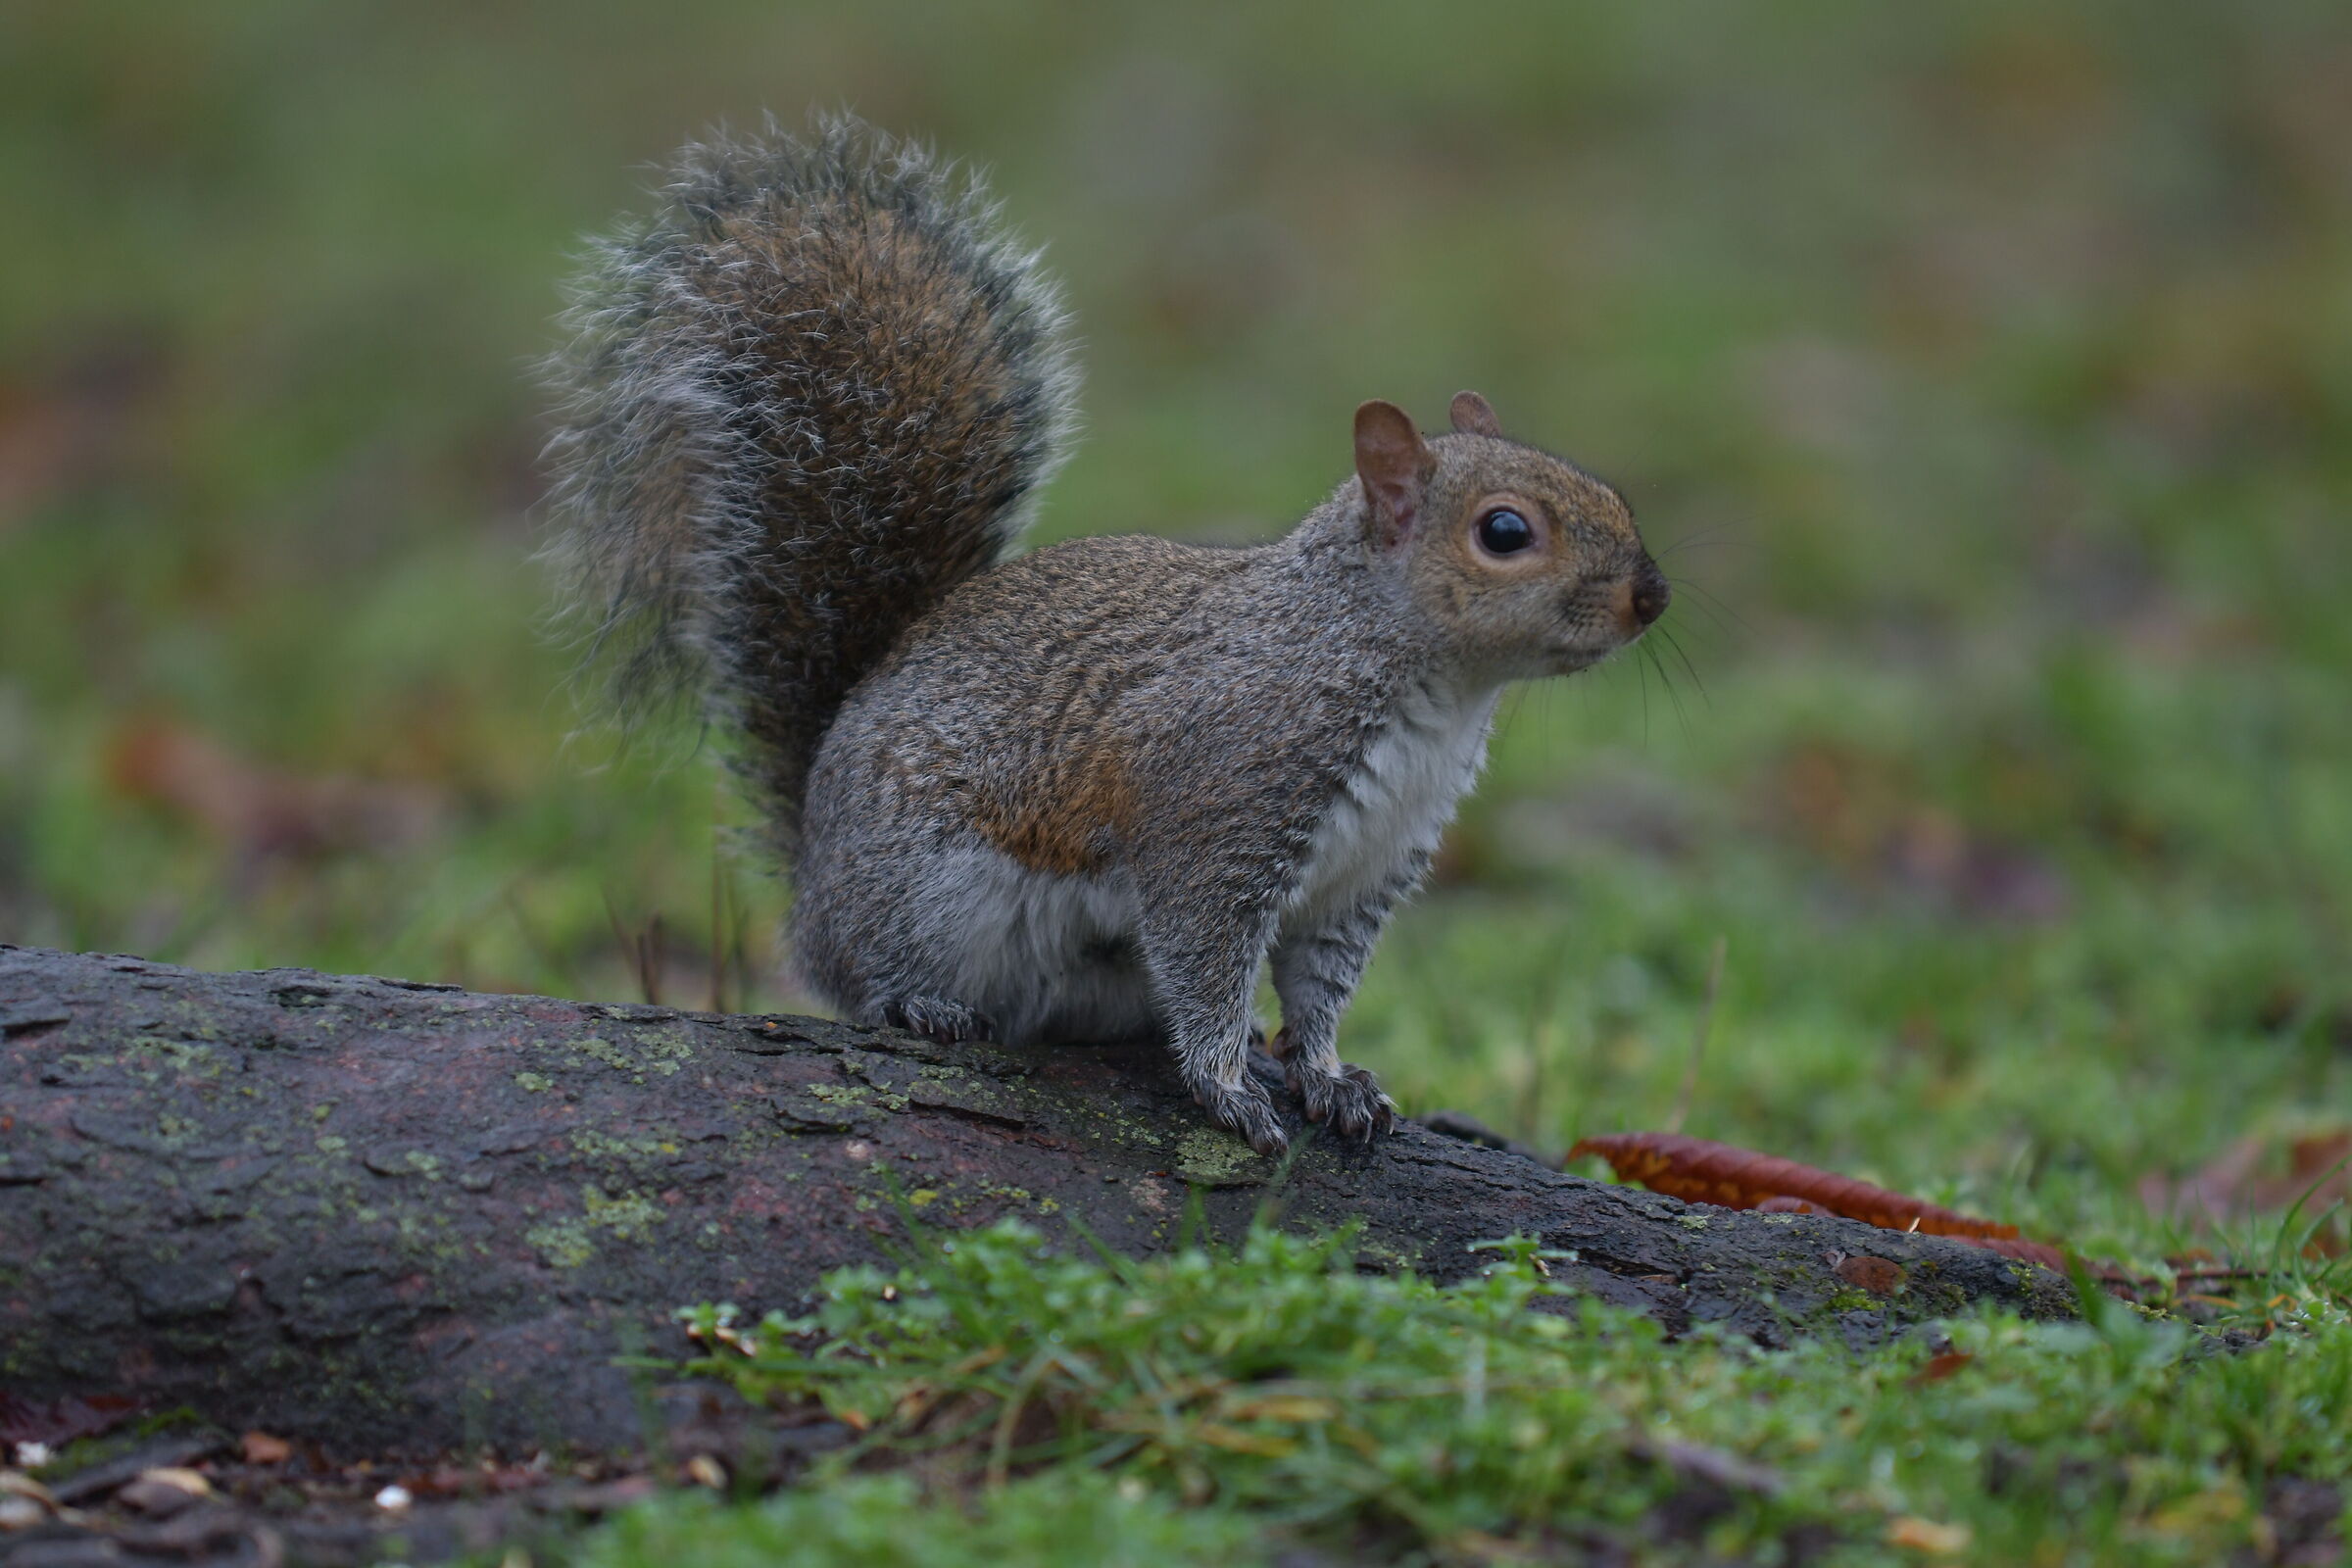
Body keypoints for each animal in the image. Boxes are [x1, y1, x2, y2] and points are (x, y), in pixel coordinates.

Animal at [542, 117, 1669, 1156]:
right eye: (1505, 533)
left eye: (1609, 492)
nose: (1651, 597)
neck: (1425, 691)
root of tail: (812, 861)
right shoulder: (1216, 814)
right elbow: (1207, 962)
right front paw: (1228, 1086)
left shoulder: (1367, 871)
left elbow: (1317, 988)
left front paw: (1327, 1074)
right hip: (919, 892)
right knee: (858, 976)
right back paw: (918, 1000)